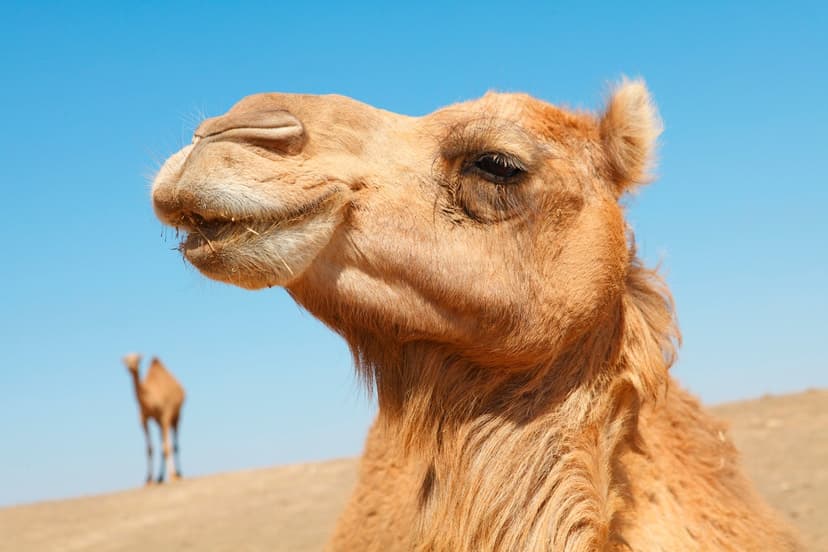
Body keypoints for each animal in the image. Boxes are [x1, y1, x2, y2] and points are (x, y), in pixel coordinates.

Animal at [122, 353, 186, 485]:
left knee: (175, 444)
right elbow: (150, 449)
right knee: (163, 444)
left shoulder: (166, 414)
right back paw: (159, 477)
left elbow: (168, 447)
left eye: (137, 359)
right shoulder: (144, 419)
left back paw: (178, 474)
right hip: (159, 423)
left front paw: (172, 476)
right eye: (126, 359)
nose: (130, 366)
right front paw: (149, 479)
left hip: (177, 417)